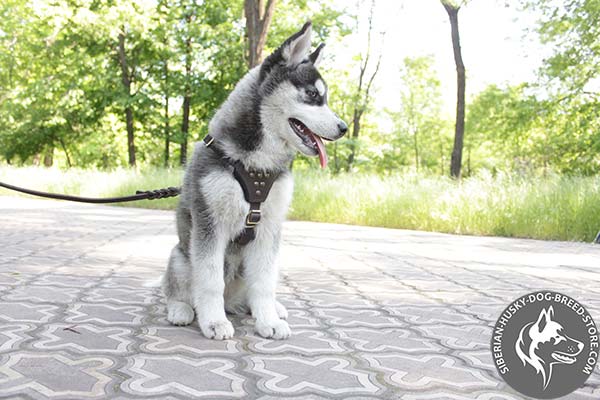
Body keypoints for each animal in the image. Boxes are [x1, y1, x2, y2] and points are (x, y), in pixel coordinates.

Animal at [161, 21, 346, 340]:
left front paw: (268, 320)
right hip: (181, 257)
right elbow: (209, 281)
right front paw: (214, 322)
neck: (256, 166)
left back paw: (268, 308)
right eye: (312, 94)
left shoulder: (269, 228)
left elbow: (264, 283)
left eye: (324, 98)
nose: (344, 128)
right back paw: (182, 310)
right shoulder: (209, 224)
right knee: (179, 289)